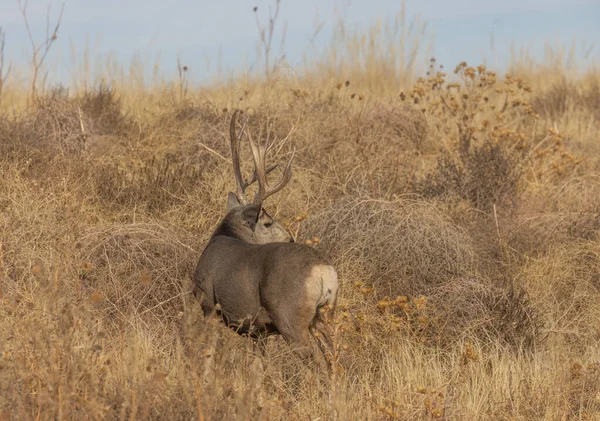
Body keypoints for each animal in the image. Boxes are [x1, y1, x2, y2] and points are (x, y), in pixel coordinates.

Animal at [195, 110, 340, 360]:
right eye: (268, 222)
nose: (290, 238)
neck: (225, 236)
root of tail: (324, 271)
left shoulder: (208, 303)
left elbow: (209, 350)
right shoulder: (258, 330)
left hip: (290, 317)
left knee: (316, 358)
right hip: (324, 316)